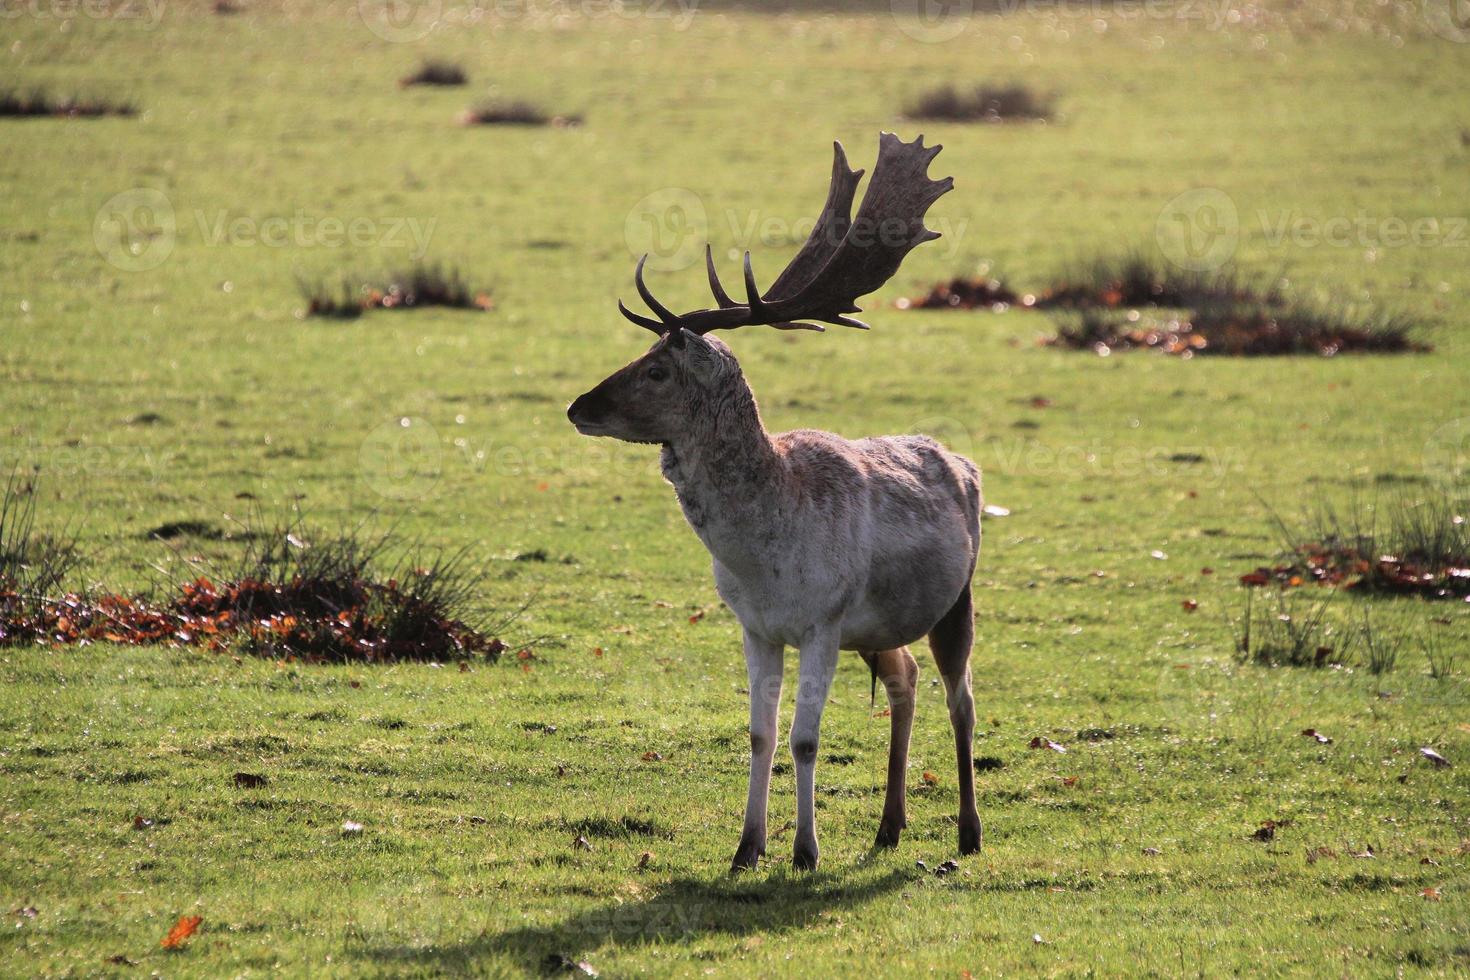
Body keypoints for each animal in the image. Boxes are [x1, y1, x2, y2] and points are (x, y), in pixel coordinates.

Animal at [567, 132, 981, 875]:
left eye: (657, 368)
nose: (578, 406)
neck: (765, 558)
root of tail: (965, 462)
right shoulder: (755, 626)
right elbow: (759, 736)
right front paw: (746, 847)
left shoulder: (822, 620)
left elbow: (803, 740)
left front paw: (805, 851)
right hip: (880, 627)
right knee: (904, 681)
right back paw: (889, 826)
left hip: (956, 599)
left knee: (962, 701)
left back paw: (968, 831)